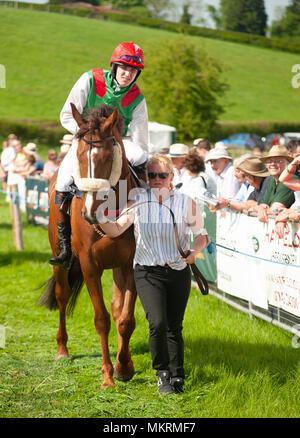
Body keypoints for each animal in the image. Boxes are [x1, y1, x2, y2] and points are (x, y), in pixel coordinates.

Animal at [37, 103, 139, 390]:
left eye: (108, 156)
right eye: (80, 156)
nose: (90, 212)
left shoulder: (130, 264)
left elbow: (125, 318)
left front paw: (124, 366)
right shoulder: (89, 264)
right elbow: (101, 319)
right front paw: (107, 376)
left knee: (117, 307)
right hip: (61, 261)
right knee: (61, 295)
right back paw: (62, 350)